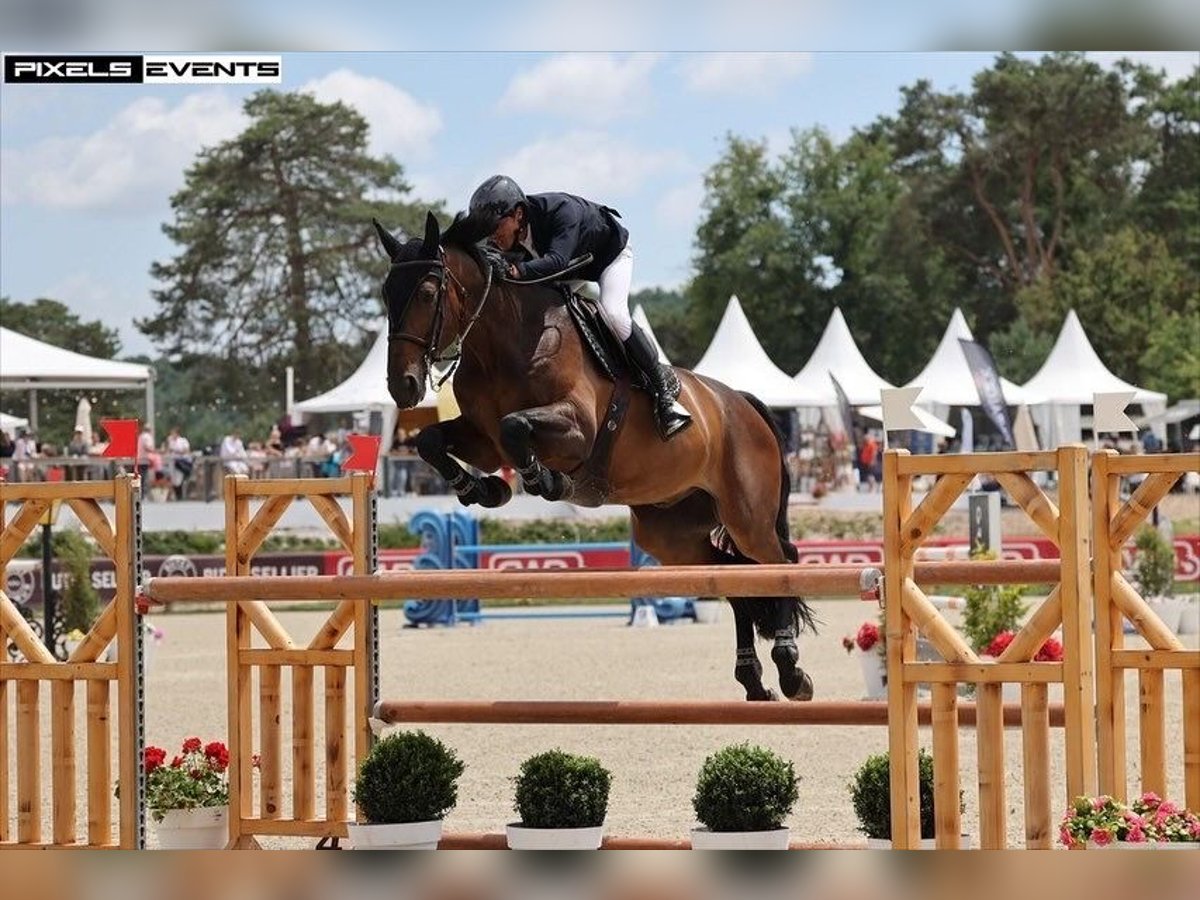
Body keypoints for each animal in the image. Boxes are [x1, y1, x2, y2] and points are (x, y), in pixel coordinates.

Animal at [379, 213, 820, 705]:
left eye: (427, 293)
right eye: (386, 293)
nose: (403, 386)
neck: (504, 341)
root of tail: (742, 402)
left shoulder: (577, 429)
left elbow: (516, 426)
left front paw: (549, 483)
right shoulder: (484, 442)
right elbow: (432, 441)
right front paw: (483, 489)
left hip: (747, 517)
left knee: (778, 563)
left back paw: (791, 670)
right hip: (671, 535)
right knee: (737, 580)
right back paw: (754, 680)